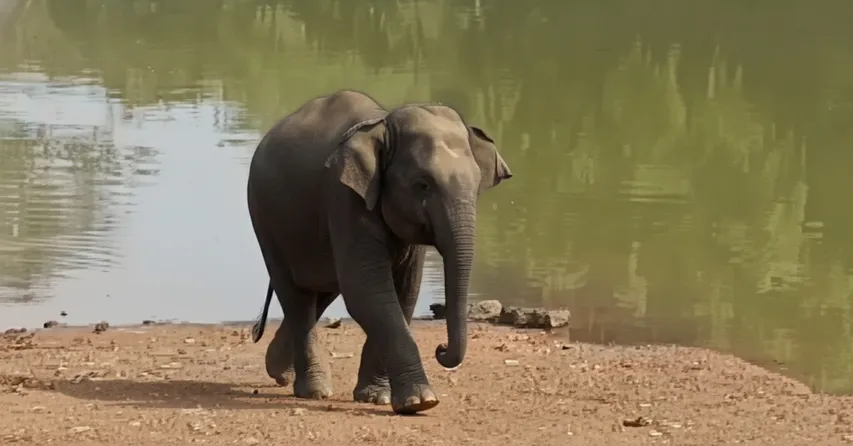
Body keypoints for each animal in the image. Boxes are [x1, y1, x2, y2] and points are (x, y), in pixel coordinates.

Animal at [246, 90, 512, 414]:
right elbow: (367, 289)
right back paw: (314, 391)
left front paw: (377, 397)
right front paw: (421, 402)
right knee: (297, 296)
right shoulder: (344, 196)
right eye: (422, 185)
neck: (383, 126)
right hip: (265, 218)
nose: (440, 349)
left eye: (476, 186)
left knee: (320, 292)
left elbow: (403, 293)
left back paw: (279, 371)